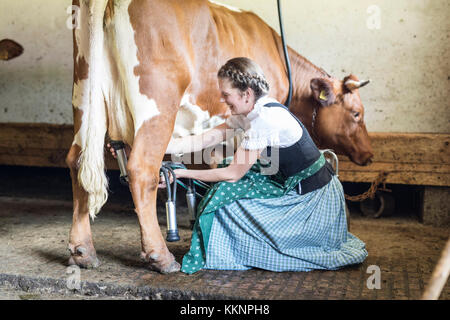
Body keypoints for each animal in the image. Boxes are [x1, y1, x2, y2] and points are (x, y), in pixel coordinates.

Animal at [67, 0, 374, 274]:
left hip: (84, 93)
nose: (369, 155)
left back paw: (82, 251)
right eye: (356, 113)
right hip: (156, 102)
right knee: (142, 168)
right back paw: (161, 256)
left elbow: (215, 162)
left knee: (76, 161)